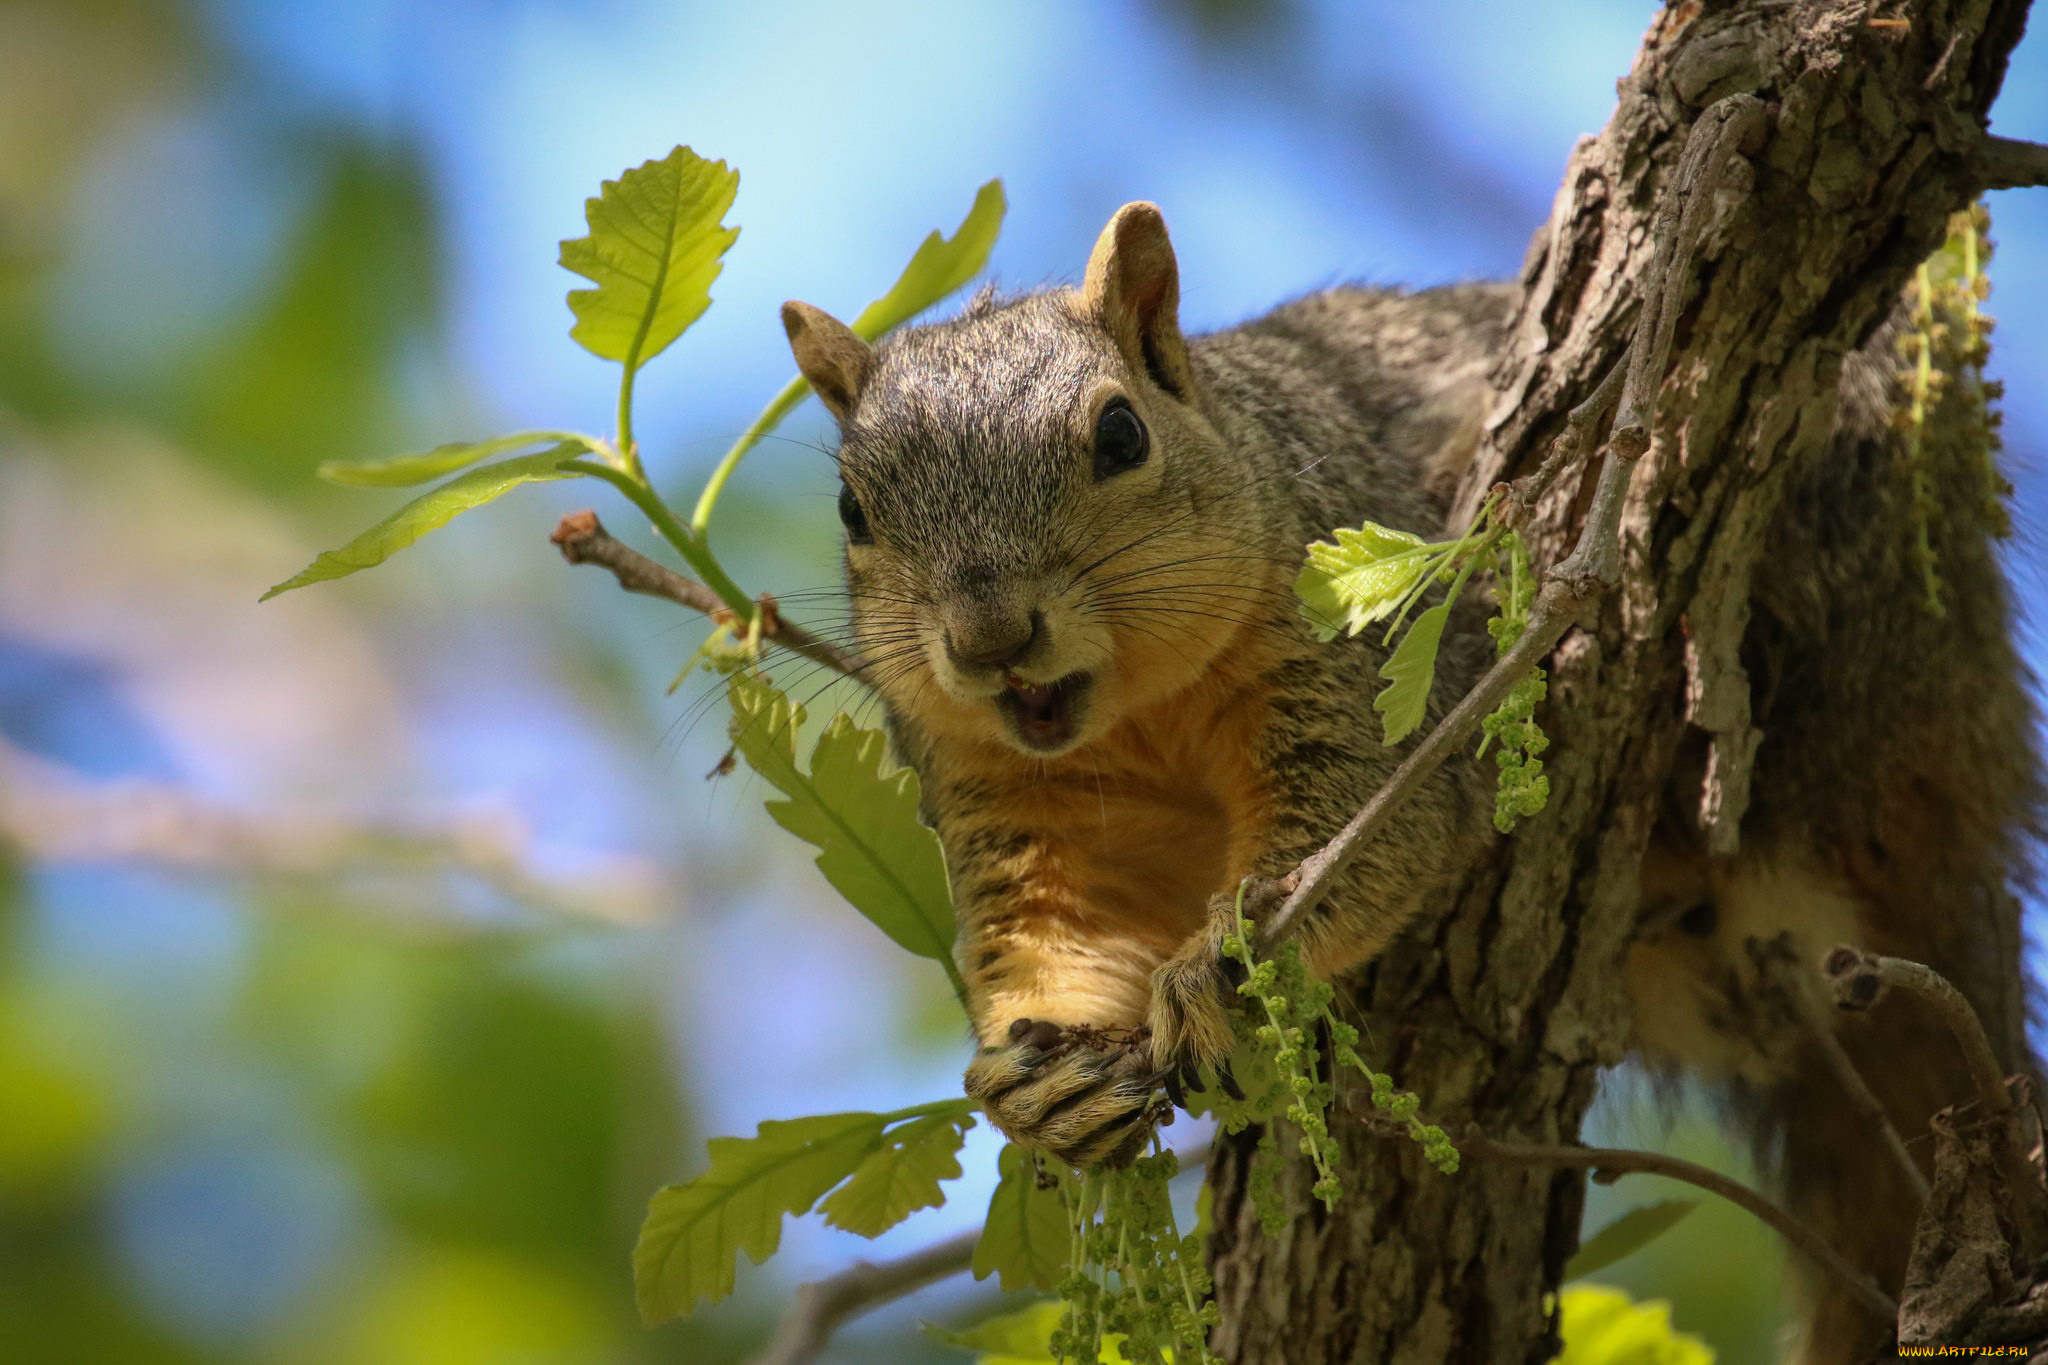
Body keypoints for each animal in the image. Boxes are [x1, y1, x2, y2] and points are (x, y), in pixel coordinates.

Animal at [778, 202, 2031, 1365]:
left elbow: (1371, 830)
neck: (1134, 714)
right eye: (851, 510)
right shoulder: (1012, 804)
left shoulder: (1352, 665)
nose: (989, 639)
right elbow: (1053, 933)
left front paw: (1226, 968)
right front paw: (1035, 1085)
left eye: (1120, 434)